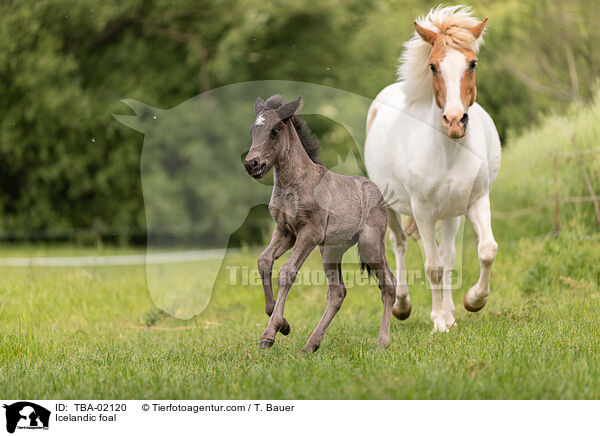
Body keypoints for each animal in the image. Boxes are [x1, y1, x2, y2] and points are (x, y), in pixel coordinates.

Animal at [241, 93, 396, 352]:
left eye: (274, 131)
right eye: (253, 130)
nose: (251, 164)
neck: (294, 182)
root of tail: (376, 190)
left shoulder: (310, 233)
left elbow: (287, 272)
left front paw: (270, 334)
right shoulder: (285, 232)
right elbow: (263, 261)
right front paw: (283, 324)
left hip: (370, 246)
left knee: (389, 284)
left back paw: (382, 342)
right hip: (331, 251)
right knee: (337, 293)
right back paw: (310, 345)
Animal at [366, 5, 502, 334]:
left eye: (472, 63)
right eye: (432, 67)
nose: (454, 121)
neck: (448, 152)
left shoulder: (477, 201)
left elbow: (485, 250)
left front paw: (473, 301)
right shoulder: (423, 211)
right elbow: (433, 267)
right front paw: (439, 322)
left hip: (451, 213)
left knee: (449, 255)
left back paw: (451, 312)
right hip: (391, 206)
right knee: (400, 245)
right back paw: (402, 306)